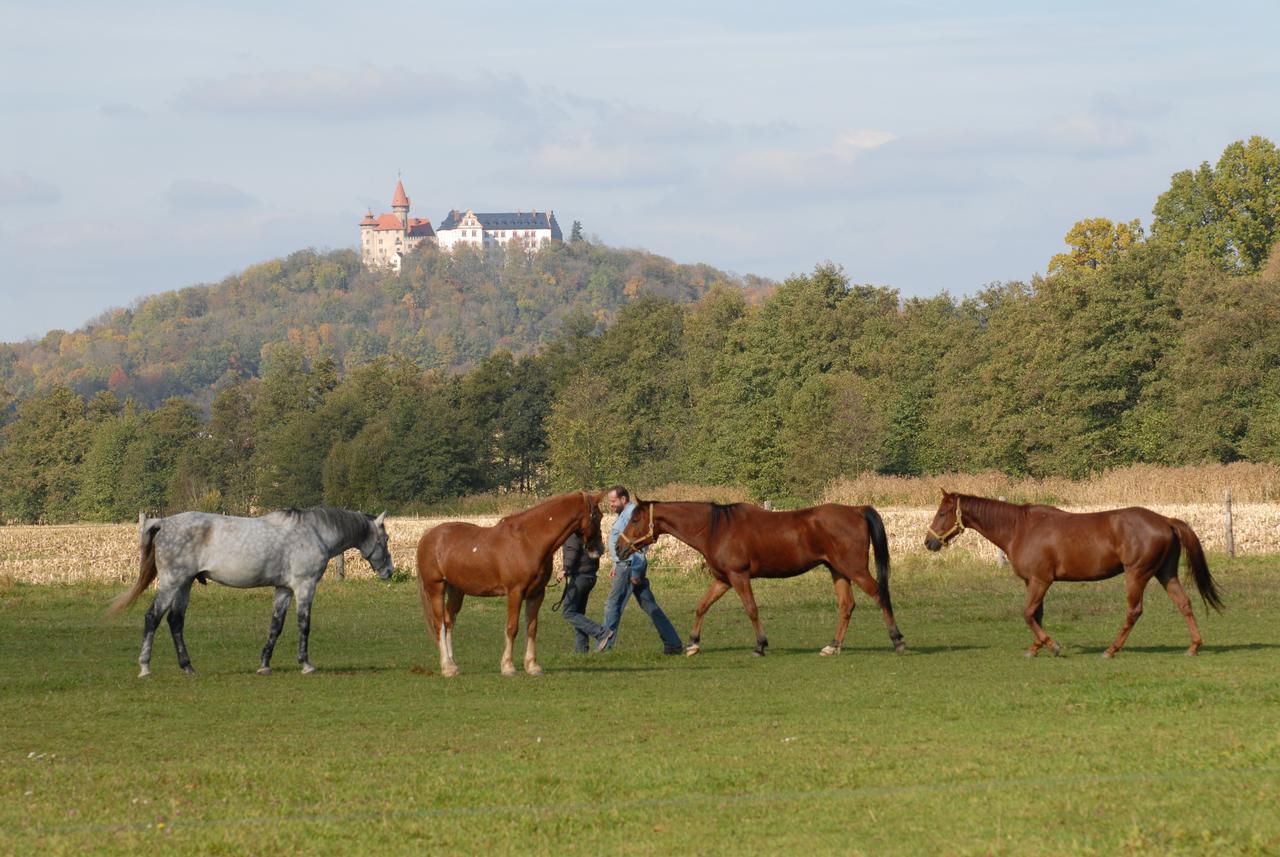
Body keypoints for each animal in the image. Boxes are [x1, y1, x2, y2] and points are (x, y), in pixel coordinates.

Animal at [108, 511, 391, 680]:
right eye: (386, 539)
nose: (389, 571)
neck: (315, 533)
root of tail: (163, 522)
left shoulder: (284, 589)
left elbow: (276, 625)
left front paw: (265, 664)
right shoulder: (305, 586)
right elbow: (304, 624)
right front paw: (306, 664)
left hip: (184, 585)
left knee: (175, 622)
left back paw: (188, 666)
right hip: (171, 582)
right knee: (152, 618)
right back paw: (145, 667)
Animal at [414, 491, 604, 680]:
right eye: (598, 516)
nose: (599, 549)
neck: (528, 540)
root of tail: (428, 536)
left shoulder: (537, 594)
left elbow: (532, 628)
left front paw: (532, 666)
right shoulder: (515, 592)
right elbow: (512, 628)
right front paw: (508, 666)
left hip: (456, 590)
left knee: (449, 622)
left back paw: (453, 665)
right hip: (436, 588)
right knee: (440, 624)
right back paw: (447, 667)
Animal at [616, 503, 901, 660]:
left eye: (635, 518)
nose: (618, 548)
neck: (715, 528)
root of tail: (856, 510)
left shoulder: (739, 576)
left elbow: (751, 610)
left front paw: (760, 646)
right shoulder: (723, 580)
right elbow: (702, 606)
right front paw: (693, 644)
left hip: (855, 570)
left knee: (880, 595)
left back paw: (897, 639)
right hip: (838, 571)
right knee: (846, 605)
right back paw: (833, 646)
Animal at [921, 491, 1218, 660]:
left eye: (943, 513)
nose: (928, 542)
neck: (1020, 528)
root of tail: (1165, 520)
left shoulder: (1041, 581)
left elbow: (1028, 614)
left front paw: (1052, 645)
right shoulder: (1034, 581)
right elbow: (1036, 614)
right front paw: (1035, 648)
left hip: (1137, 574)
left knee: (1134, 611)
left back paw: (1111, 650)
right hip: (1165, 573)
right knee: (1184, 603)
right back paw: (1193, 646)